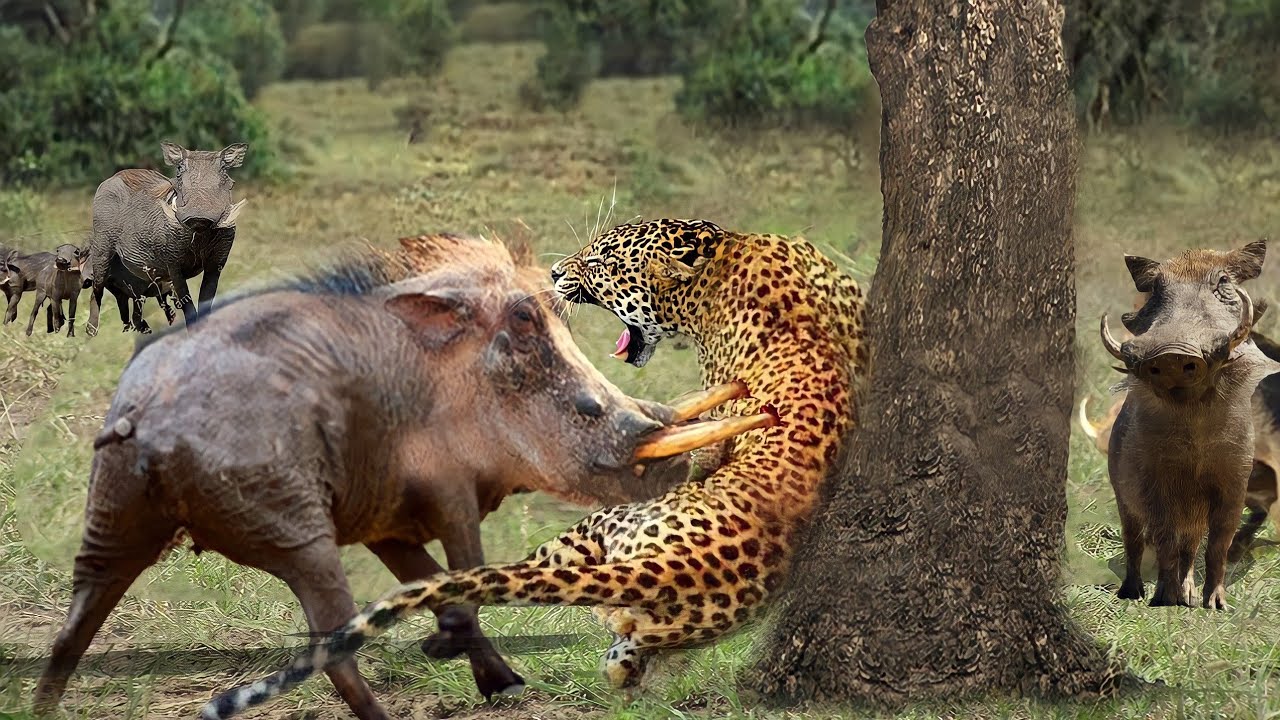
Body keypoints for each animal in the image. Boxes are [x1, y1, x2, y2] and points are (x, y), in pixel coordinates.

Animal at [200, 218, 867, 719]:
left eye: (604, 261)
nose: (556, 274)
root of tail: (675, 569)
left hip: (599, 530)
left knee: (517, 583)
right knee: (608, 637)